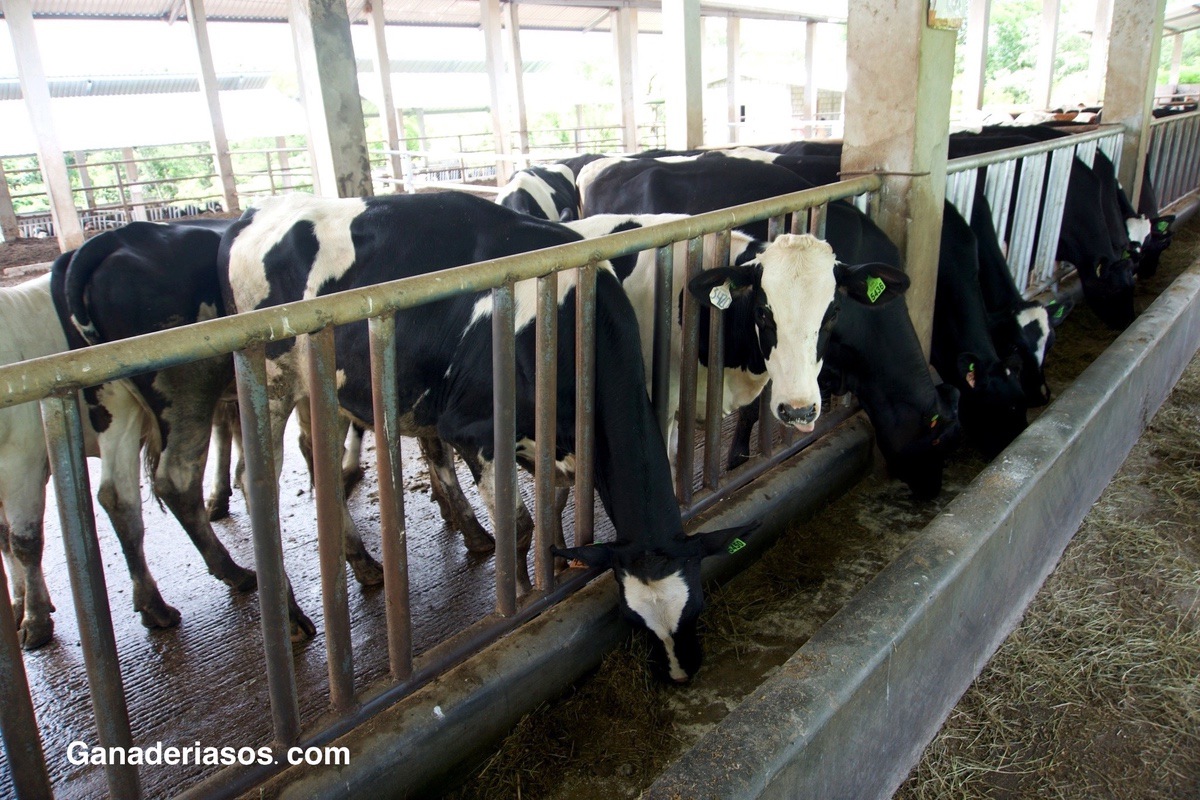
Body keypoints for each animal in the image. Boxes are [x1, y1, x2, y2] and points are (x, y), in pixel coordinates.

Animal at [218, 191, 748, 681]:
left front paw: (557, 565)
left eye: (698, 605)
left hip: (321, 391)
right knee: (254, 484)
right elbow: (521, 528)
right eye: (631, 619)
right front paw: (519, 600)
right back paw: (291, 616)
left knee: (319, 458)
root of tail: (255, 212)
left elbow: (552, 507)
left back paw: (375, 559)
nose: (680, 673)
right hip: (268, 382)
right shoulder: (476, 434)